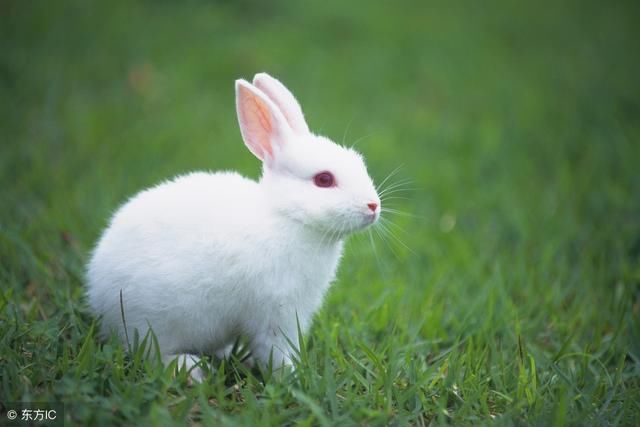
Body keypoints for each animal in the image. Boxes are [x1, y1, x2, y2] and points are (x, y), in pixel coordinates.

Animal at [87, 73, 382, 382]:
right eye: (324, 179)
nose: (373, 206)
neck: (287, 217)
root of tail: (97, 294)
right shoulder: (275, 314)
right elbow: (275, 352)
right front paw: (293, 377)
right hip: (153, 323)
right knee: (151, 354)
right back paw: (192, 369)